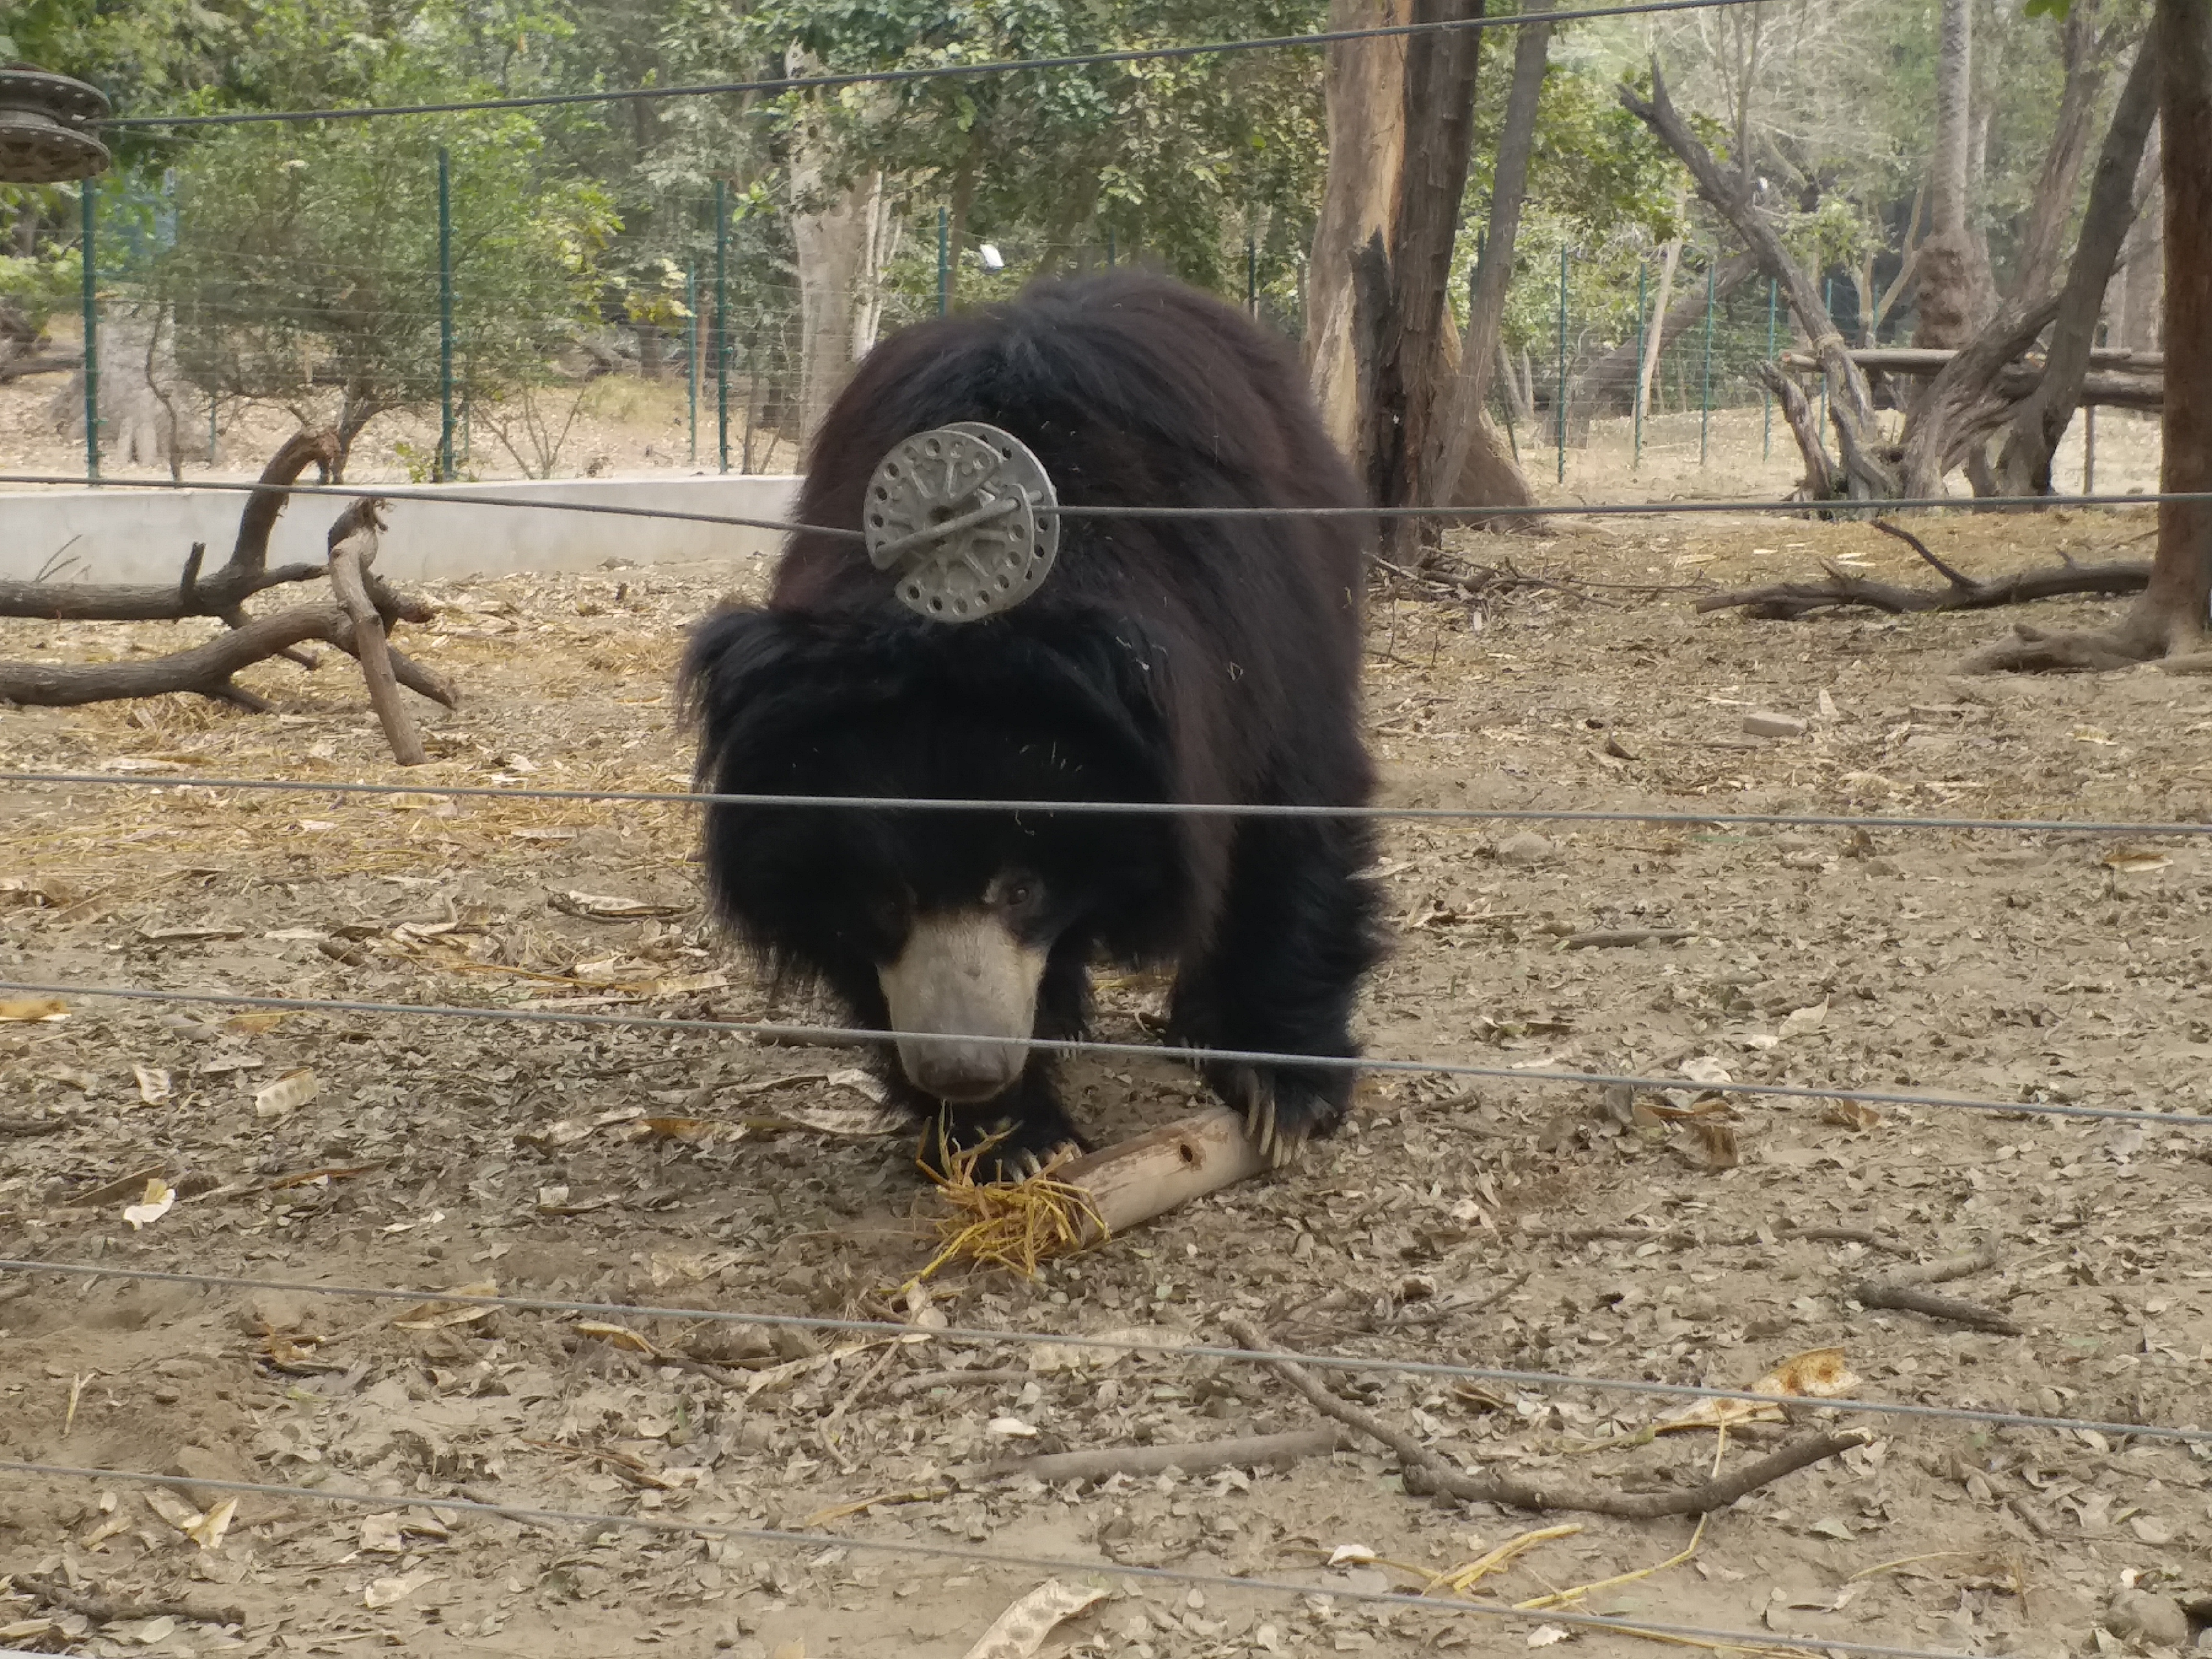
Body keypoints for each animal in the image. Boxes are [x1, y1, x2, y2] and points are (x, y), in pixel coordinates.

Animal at [681, 273, 1371, 1185]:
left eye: (1020, 888)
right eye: (884, 897)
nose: (964, 1070)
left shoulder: (1253, 635)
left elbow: (1290, 812)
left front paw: (1281, 1092)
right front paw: (1013, 1139)